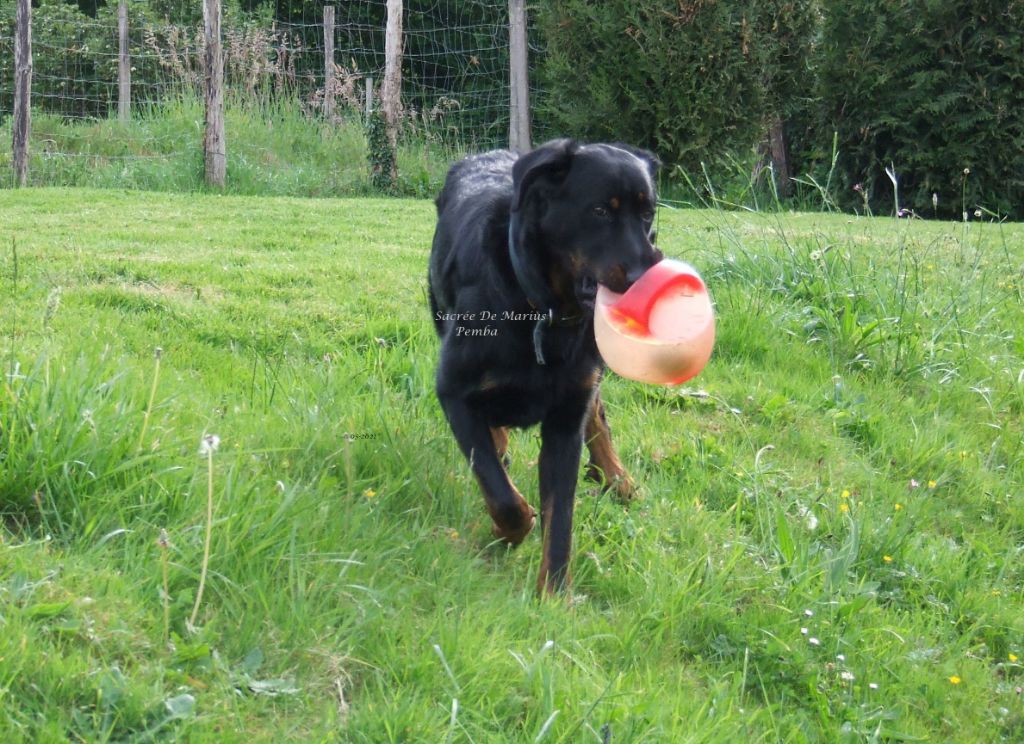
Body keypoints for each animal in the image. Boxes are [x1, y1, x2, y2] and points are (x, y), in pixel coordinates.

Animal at [425, 138, 659, 593]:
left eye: (648, 214)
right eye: (600, 211)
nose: (648, 277)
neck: (542, 310)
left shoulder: (567, 416)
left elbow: (561, 519)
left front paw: (552, 596)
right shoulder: (454, 391)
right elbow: (499, 492)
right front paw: (507, 530)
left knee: (598, 415)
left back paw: (617, 478)